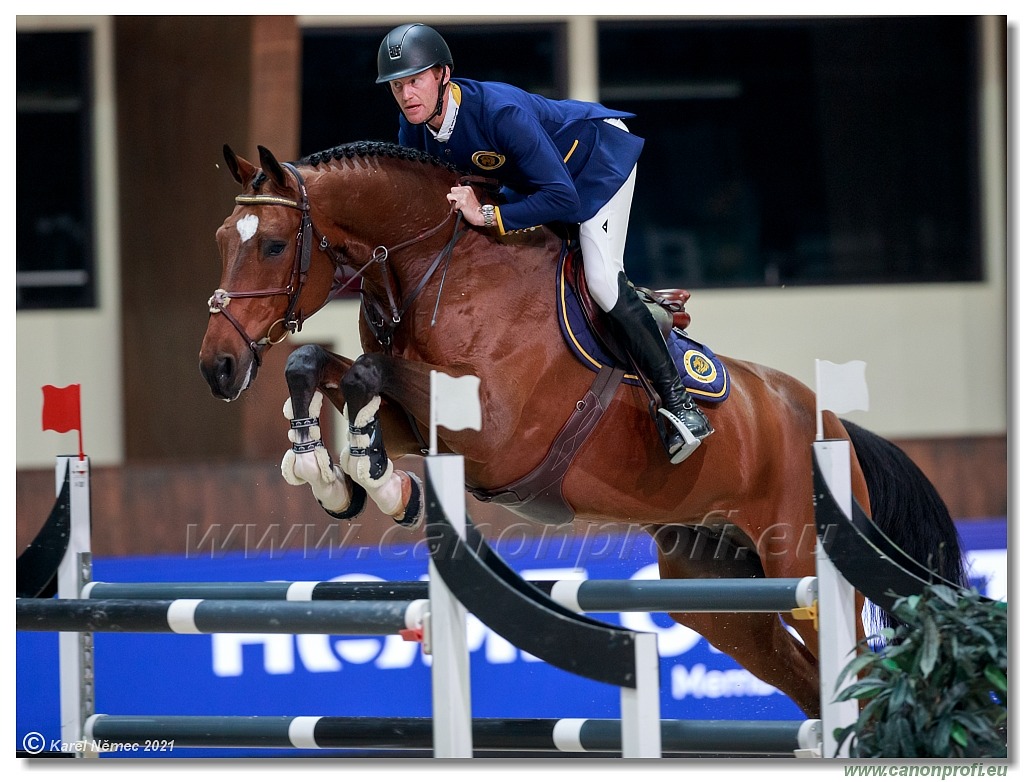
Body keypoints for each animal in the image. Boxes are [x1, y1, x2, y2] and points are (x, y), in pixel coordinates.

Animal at [199, 140, 966, 716]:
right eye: (221, 240)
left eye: (273, 246)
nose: (217, 367)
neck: (439, 270)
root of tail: (832, 423)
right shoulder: (420, 423)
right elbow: (320, 365)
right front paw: (334, 477)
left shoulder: (494, 430)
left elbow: (367, 372)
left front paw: (382, 488)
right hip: (716, 593)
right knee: (804, 681)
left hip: (801, 564)